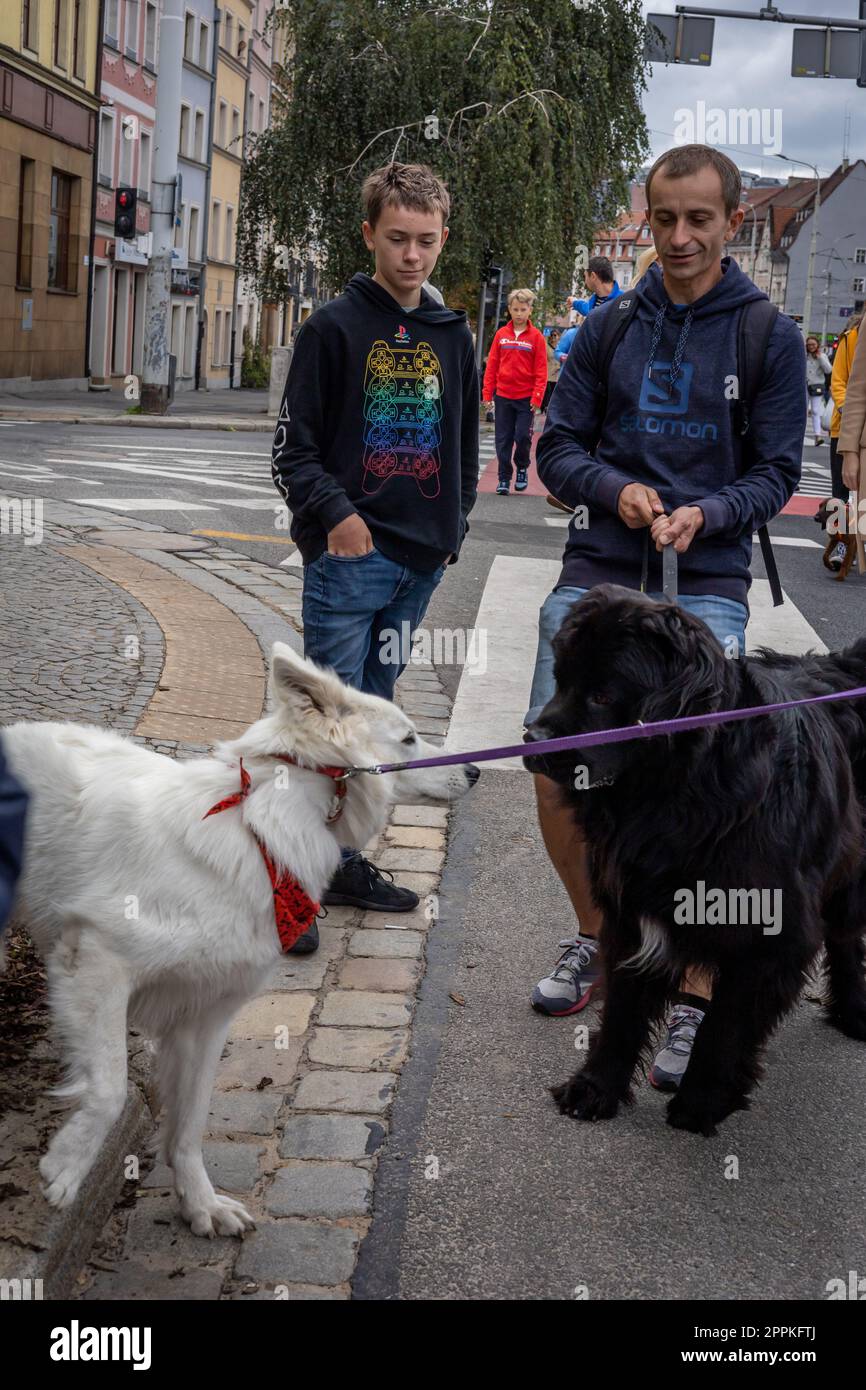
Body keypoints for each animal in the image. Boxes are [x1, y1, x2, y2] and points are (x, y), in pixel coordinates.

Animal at [3, 642, 478, 1239]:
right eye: (410, 738)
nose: (476, 770)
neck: (260, 832)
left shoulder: (204, 1015)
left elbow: (190, 1123)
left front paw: (200, 1204)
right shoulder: (97, 962)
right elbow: (110, 1086)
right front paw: (69, 1164)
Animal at [522, 581, 866, 1134]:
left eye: (603, 696)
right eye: (561, 680)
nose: (531, 740)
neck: (682, 794)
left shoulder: (768, 934)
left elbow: (725, 1025)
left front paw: (701, 1101)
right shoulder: (633, 908)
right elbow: (622, 1012)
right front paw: (595, 1088)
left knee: (845, 932)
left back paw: (854, 1010)